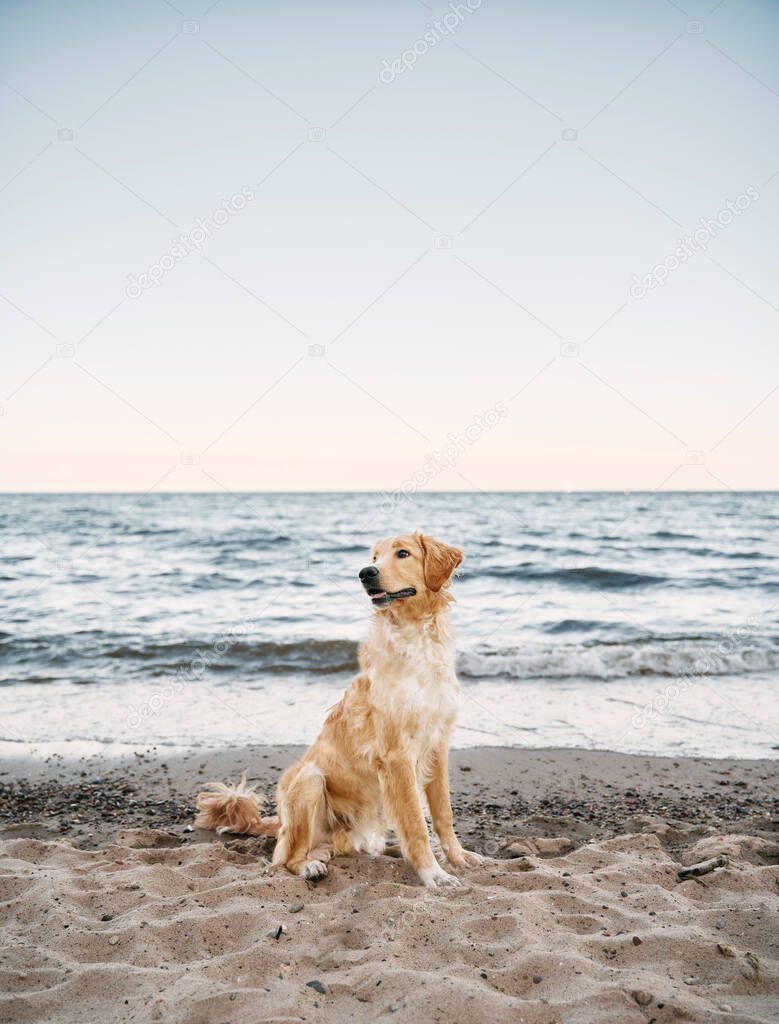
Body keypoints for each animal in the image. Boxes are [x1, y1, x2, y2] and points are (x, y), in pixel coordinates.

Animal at [194, 536, 481, 888]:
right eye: (374, 557)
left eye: (403, 553)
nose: (365, 572)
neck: (416, 639)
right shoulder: (396, 756)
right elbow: (415, 824)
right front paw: (433, 874)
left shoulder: (437, 746)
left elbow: (442, 815)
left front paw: (458, 858)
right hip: (310, 780)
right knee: (288, 858)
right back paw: (309, 867)